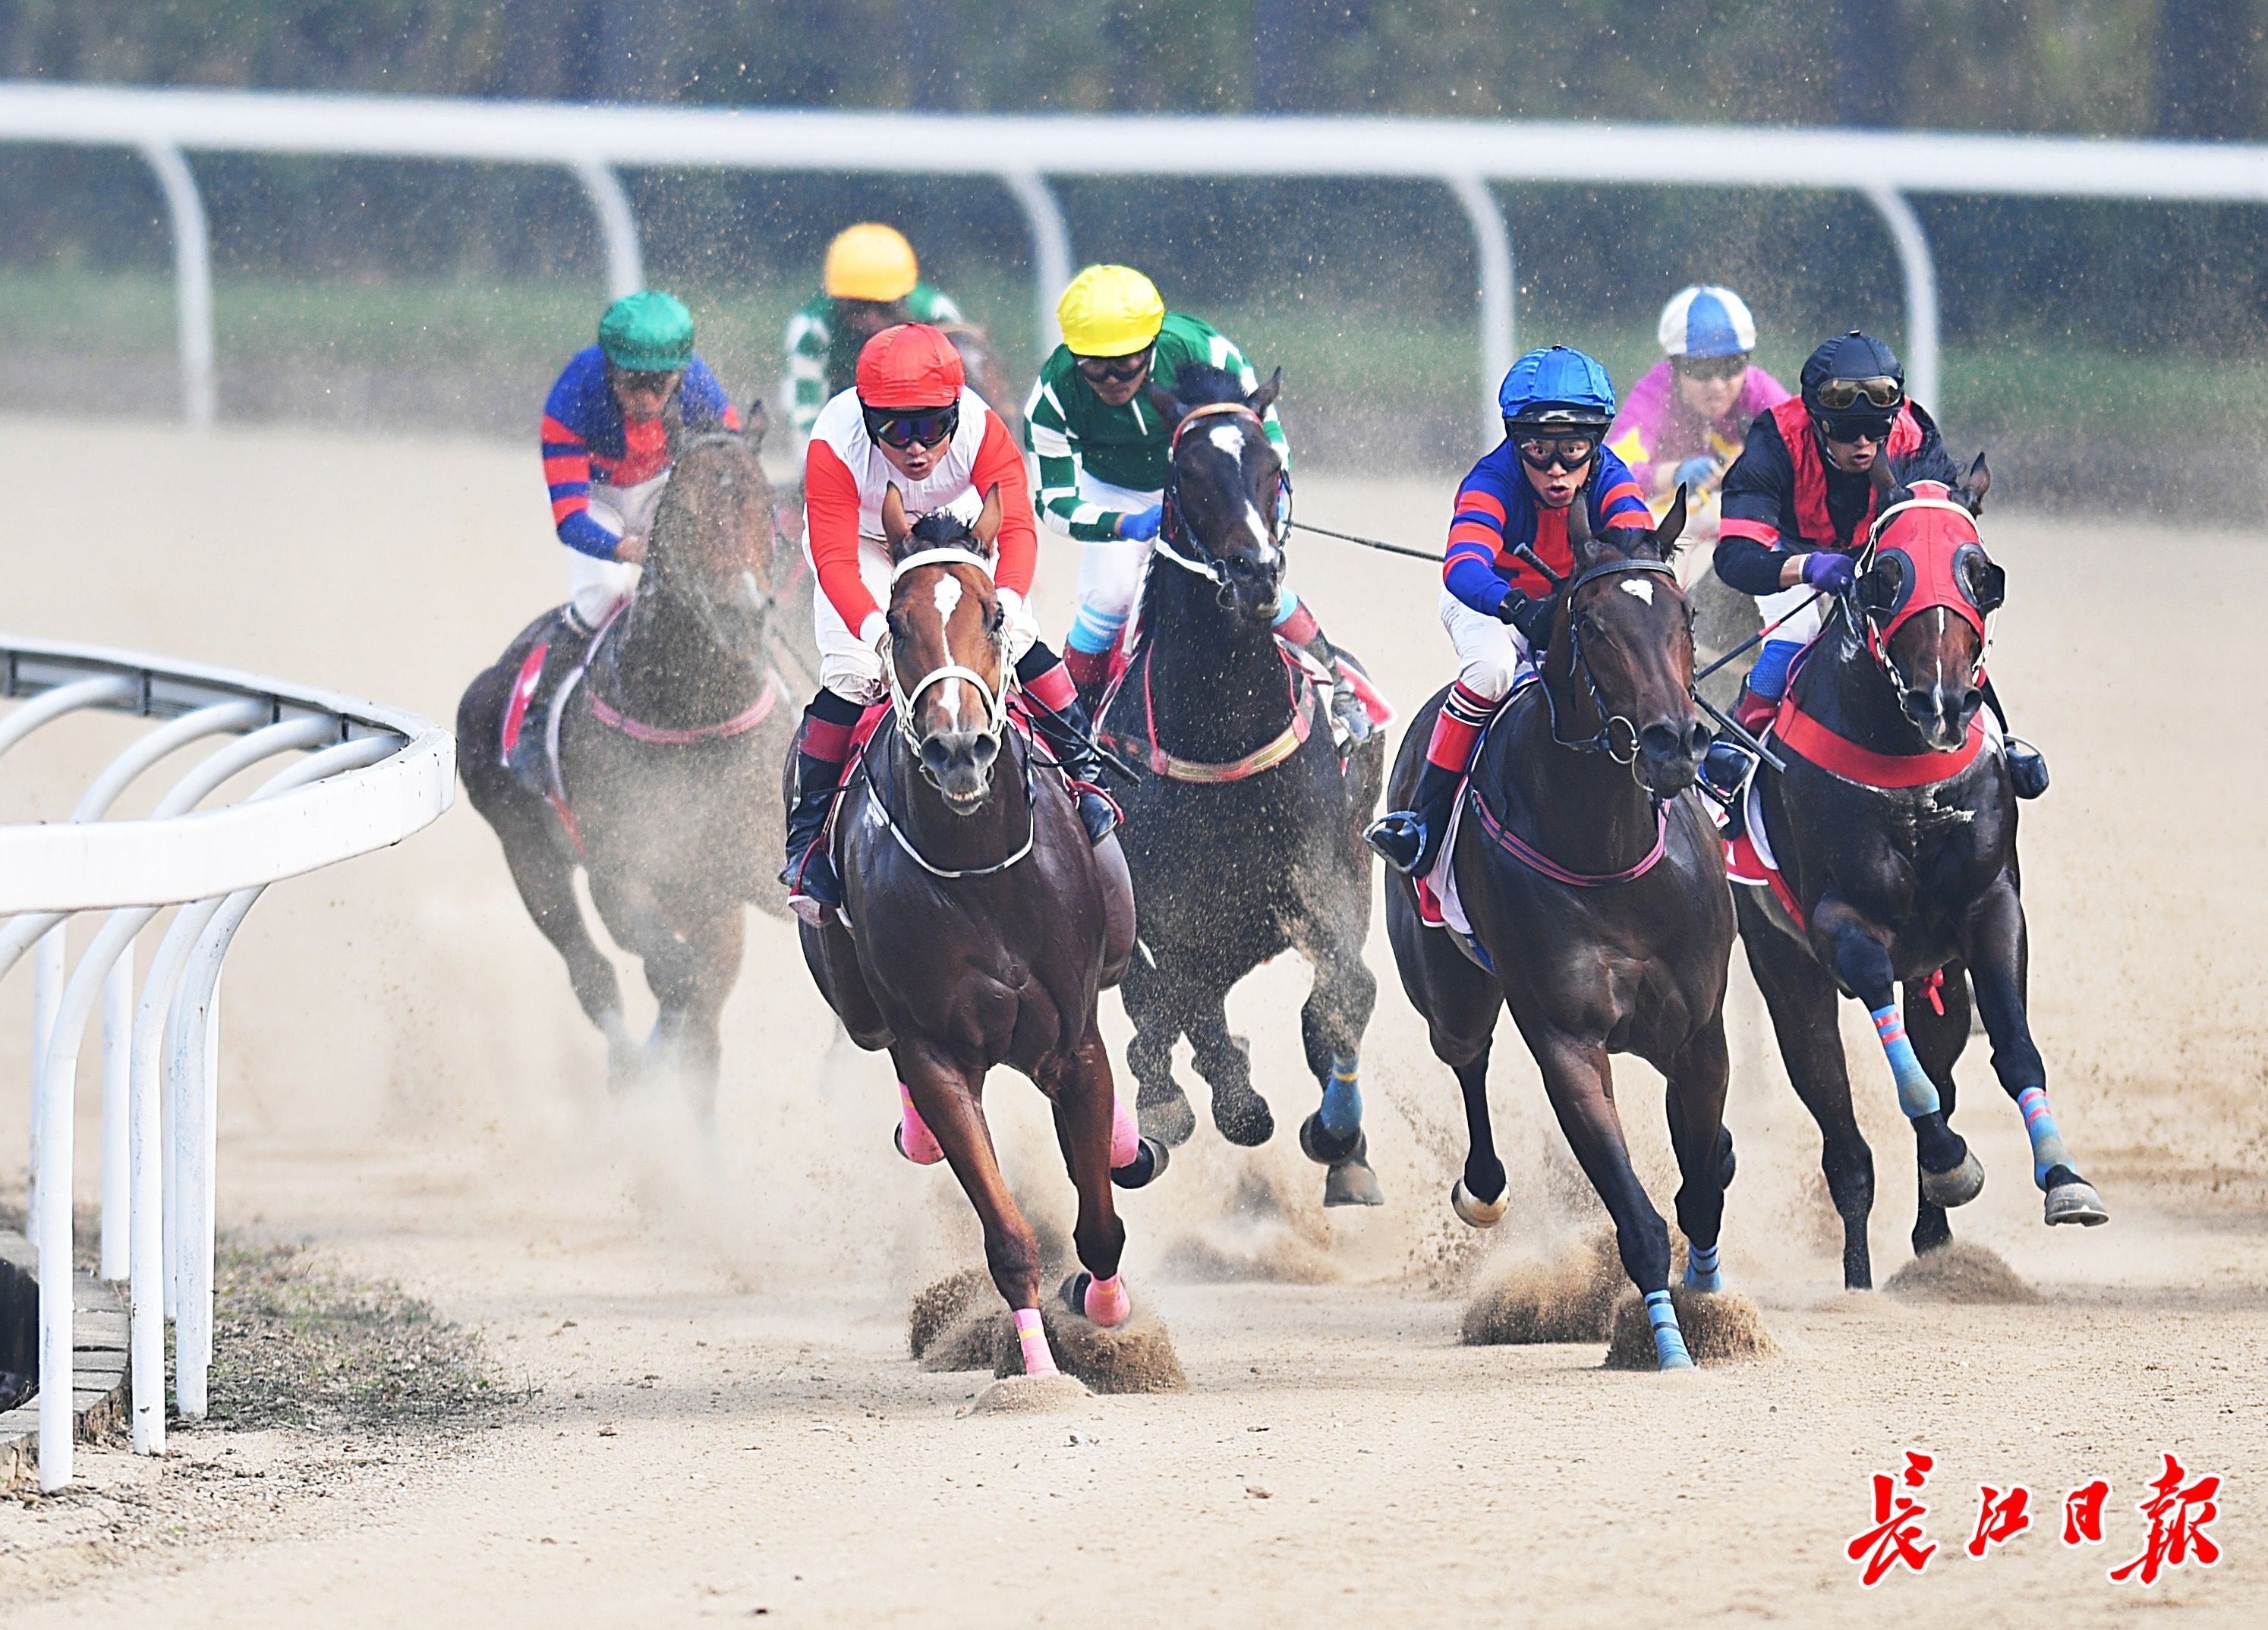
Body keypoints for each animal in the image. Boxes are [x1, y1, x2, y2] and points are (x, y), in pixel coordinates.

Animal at [455, 426, 793, 1115]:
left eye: (765, 506)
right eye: (683, 512)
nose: (745, 611)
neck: (692, 718)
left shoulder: (760, 864)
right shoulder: (619, 876)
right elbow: (676, 979)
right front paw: (649, 1070)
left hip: (706, 897)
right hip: (529, 854)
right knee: (593, 971)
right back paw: (633, 1069)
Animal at [798, 487, 1151, 1378]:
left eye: (993, 616)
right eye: (896, 621)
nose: (959, 749)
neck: (979, 869)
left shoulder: (1073, 1040)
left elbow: (1099, 1224)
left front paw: (1105, 1311)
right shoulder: (936, 1055)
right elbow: (1008, 1240)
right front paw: (1040, 1375)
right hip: (861, 1010)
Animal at [1093, 369, 1388, 1215]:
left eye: (1271, 467)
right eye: (1185, 473)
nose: (1254, 571)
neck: (1220, 731)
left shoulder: (1316, 870)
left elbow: (1346, 992)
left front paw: (1338, 1139)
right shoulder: (1164, 906)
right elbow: (1176, 1006)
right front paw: (1224, 1102)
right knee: (1159, 1014)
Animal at [1369, 492, 1723, 1369]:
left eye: (1685, 614)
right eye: (1591, 625)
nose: (1673, 741)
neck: (1608, 848)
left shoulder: (1700, 1028)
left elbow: (1701, 1181)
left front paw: (1707, 1290)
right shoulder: (1567, 1037)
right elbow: (1635, 1210)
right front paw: (1667, 1339)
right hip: (1448, 990)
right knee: (1467, 1057)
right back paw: (1484, 1190)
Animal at [1732, 458, 2104, 1287]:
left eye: (1981, 574)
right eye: (1886, 575)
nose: (1946, 699)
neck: (1905, 762)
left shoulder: (1989, 905)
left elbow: (2013, 1043)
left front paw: (2064, 1179)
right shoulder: (1836, 918)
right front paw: (1948, 1158)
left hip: (1936, 976)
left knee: (1942, 1059)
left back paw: (1935, 1237)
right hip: (1784, 972)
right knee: (1838, 1120)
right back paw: (1861, 1273)